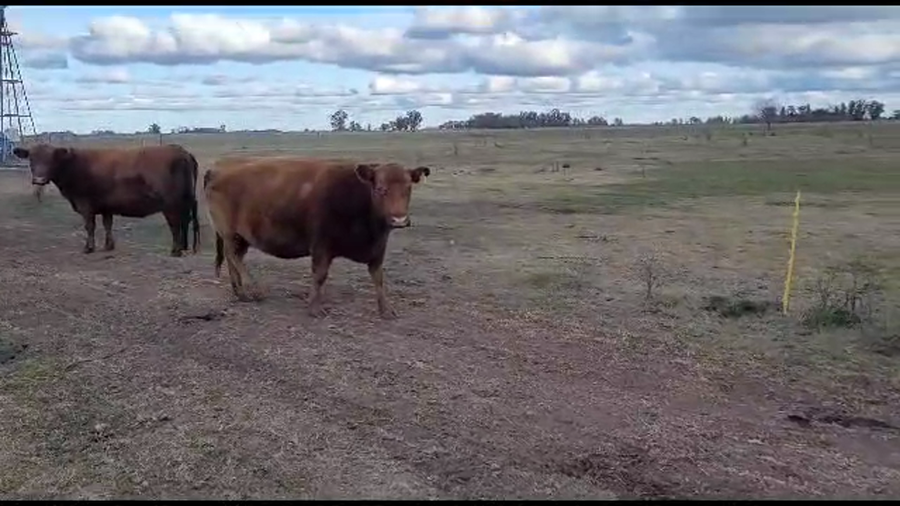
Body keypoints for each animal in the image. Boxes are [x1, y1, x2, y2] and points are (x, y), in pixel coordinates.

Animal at [12, 143, 201, 256]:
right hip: (184, 201)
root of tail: (181, 150)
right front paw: (109, 246)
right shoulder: (106, 206)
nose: (39, 180)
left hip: (171, 204)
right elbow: (107, 224)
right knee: (185, 222)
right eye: (31, 159)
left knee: (175, 224)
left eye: (51, 159)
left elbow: (90, 226)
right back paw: (183, 247)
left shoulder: (85, 205)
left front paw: (88, 248)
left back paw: (175, 250)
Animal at [203, 157, 431, 319]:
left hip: (241, 237)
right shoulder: (322, 246)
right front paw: (314, 308)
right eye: (381, 189)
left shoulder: (377, 251)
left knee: (233, 258)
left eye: (408, 188)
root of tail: (218, 167)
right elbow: (320, 275)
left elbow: (378, 279)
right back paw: (254, 289)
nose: (399, 219)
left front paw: (386, 310)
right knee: (233, 256)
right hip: (230, 233)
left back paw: (240, 293)